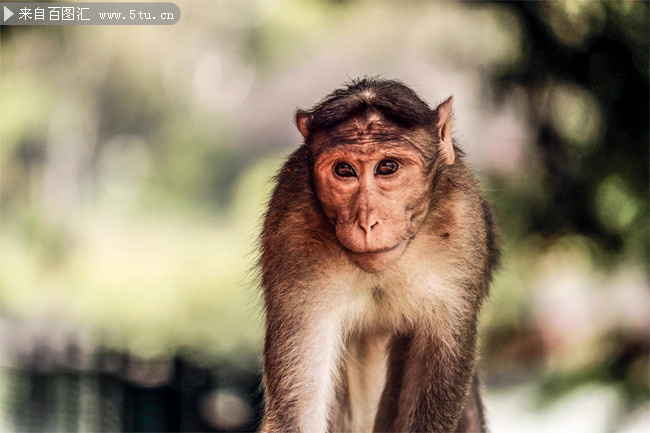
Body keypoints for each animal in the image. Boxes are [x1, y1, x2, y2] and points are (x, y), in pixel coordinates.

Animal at [258, 78, 496, 432]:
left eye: (387, 167)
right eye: (344, 170)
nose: (366, 221)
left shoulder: (462, 224)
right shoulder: (292, 230)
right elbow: (296, 406)